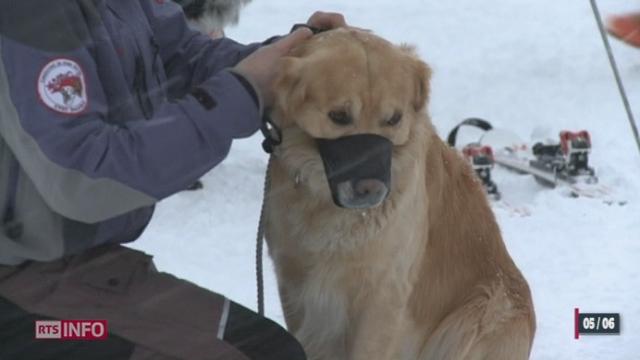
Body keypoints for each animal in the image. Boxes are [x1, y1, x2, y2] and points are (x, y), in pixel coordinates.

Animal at [264, 28, 536, 360]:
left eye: (393, 119)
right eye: (338, 116)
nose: (372, 189)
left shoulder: (384, 293)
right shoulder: (293, 284)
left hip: (477, 317)